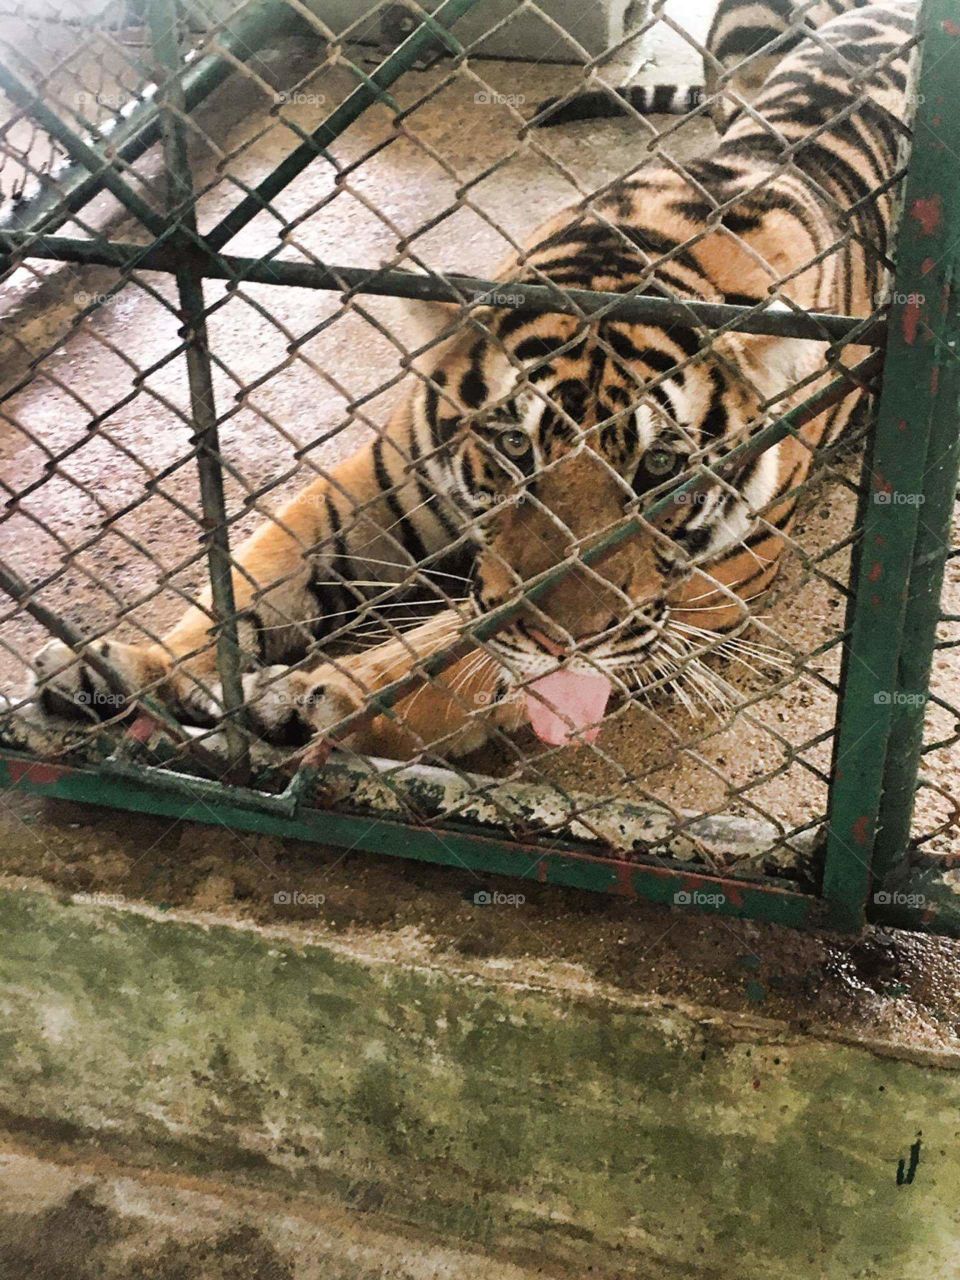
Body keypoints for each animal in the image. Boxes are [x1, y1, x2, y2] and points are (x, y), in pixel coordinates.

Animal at [32, 1, 916, 763]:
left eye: (660, 468)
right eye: (515, 450)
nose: (574, 640)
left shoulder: (714, 581)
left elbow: (464, 652)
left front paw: (318, 699)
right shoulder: (379, 491)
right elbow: (247, 580)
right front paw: (127, 666)